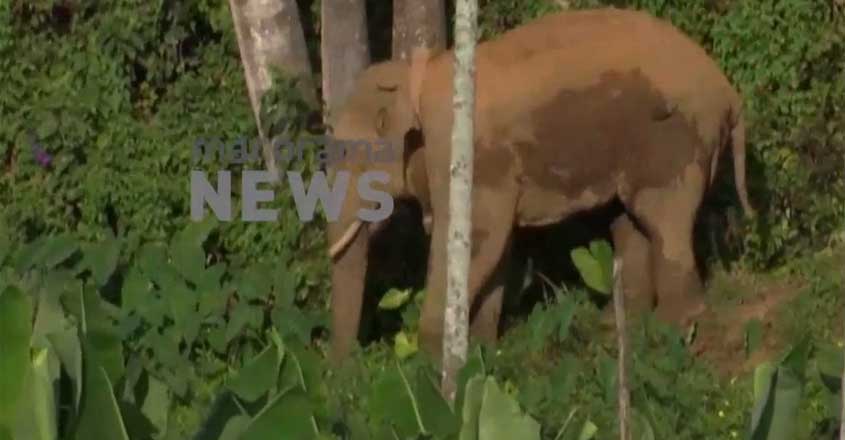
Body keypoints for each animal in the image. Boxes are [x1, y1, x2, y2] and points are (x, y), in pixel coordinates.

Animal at [324, 7, 754, 365]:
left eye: (344, 152)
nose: (342, 373)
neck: (417, 71)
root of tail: (730, 92)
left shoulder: (467, 154)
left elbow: (476, 239)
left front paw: (430, 363)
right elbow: (496, 248)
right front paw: (481, 350)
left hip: (672, 139)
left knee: (661, 219)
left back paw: (671, 330)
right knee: (630, 223)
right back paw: (623, 327)